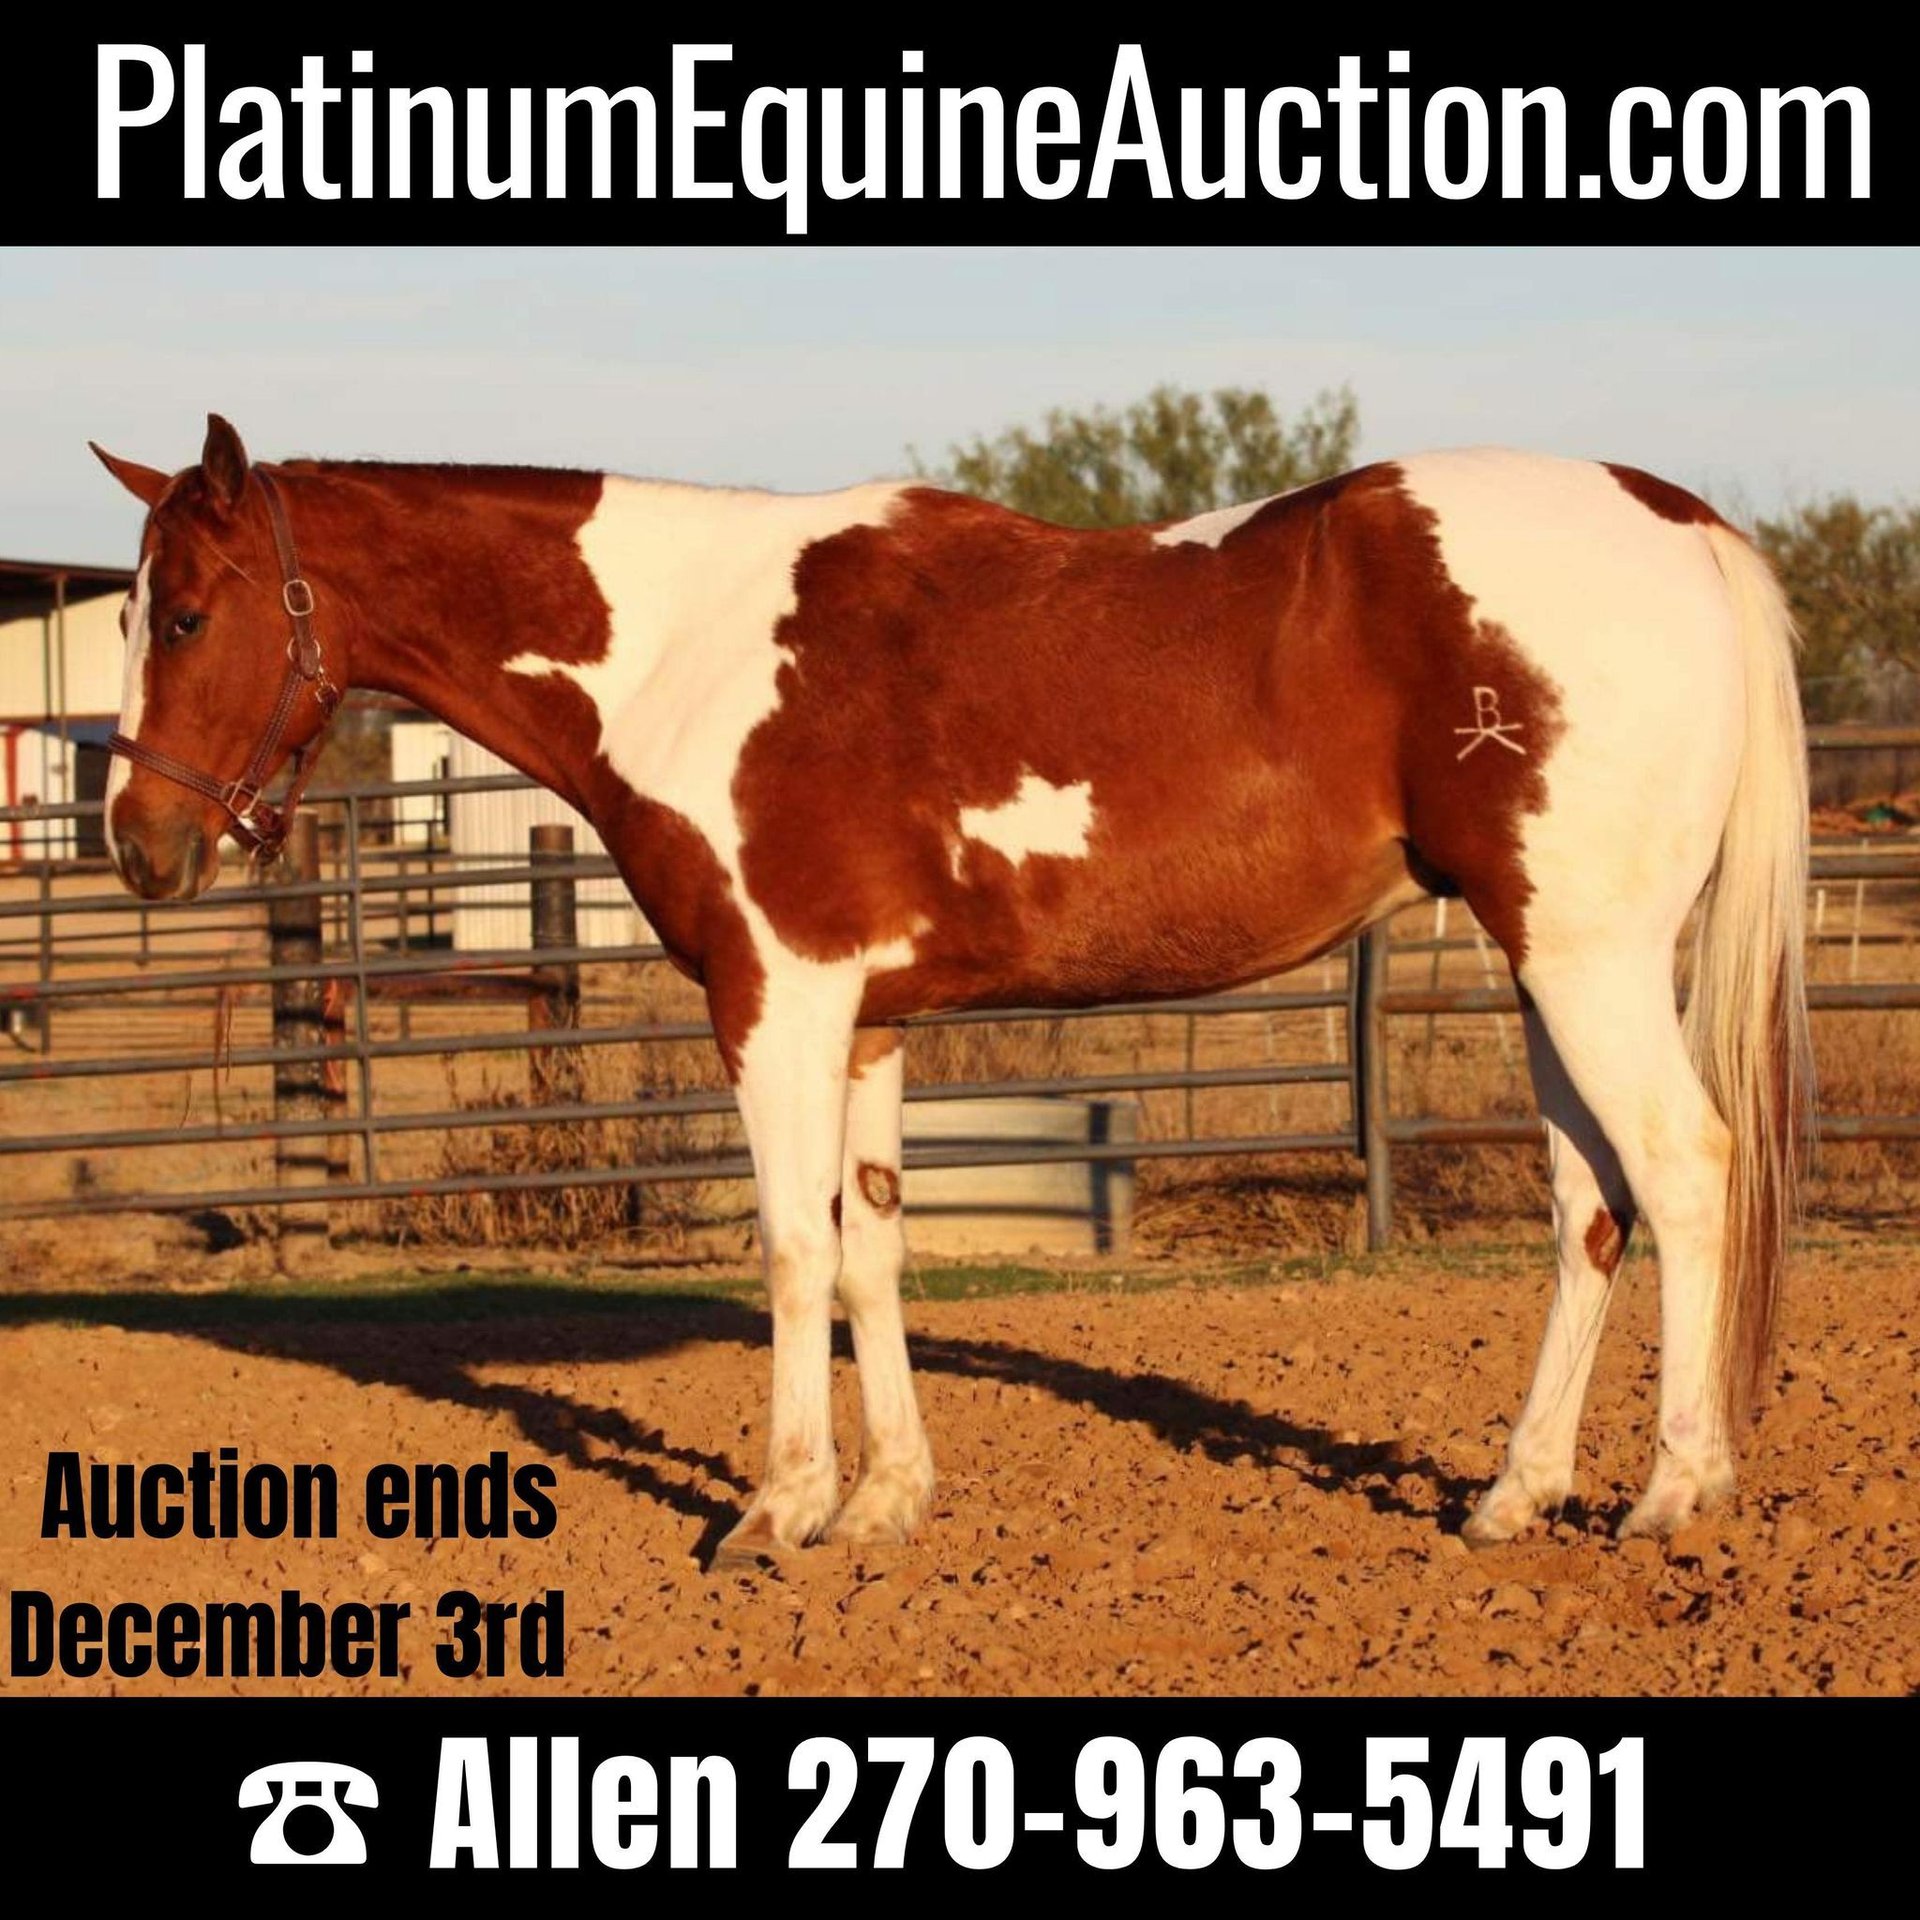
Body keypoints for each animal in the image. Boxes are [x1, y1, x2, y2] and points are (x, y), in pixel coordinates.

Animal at [91, 415, 1810, 1565]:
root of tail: (1675, 516)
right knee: (1589, 1208)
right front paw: (885, 1502)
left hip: (1587, 961)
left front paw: (777, 1510)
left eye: (184, 613)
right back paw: (1516, 1496)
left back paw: (1676, 1491)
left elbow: (792, 1251)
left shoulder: (773, 1000)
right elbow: (872, 1255)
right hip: (1557, 968)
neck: (683, 650)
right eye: (126, 613)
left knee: (1686, 1172)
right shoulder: (867, 1025)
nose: (138, 845)